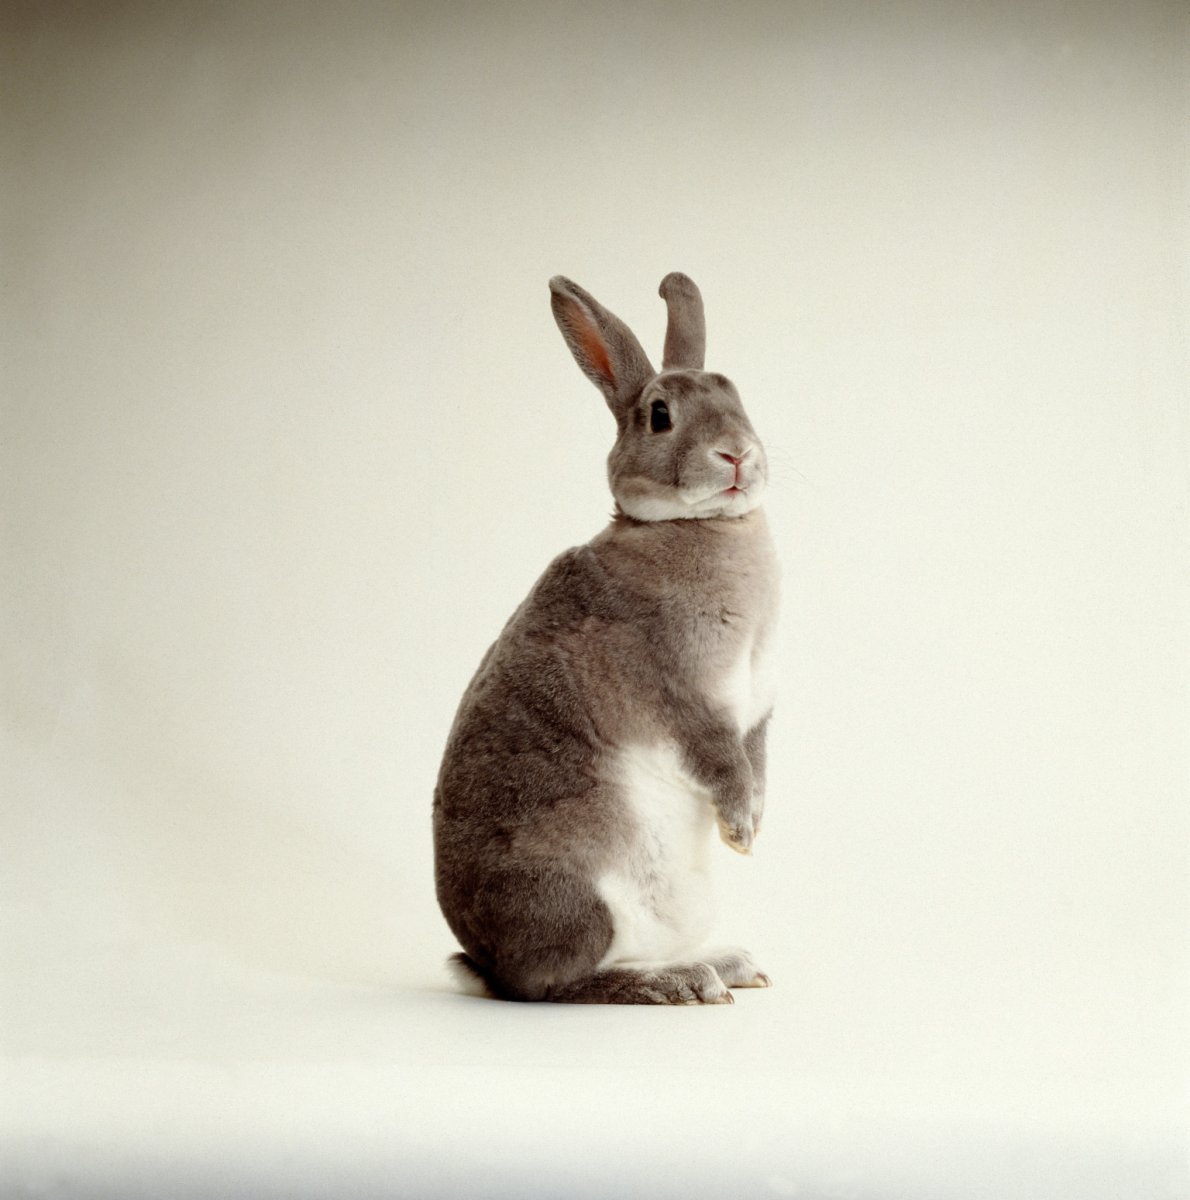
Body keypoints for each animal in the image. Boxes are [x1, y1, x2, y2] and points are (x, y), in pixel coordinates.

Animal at [433, 272, 779, 1004]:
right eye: (660, 415)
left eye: (735, 396)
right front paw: (740, 831)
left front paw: (754, 829)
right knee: (555, 984)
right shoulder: (684, 698)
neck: (693, 526)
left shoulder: (758, 711)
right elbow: (723, 764)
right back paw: (683, 983)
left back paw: (730, 964)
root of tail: (486, 960)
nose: (737, 454)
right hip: (579, 895)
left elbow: (756, 763)